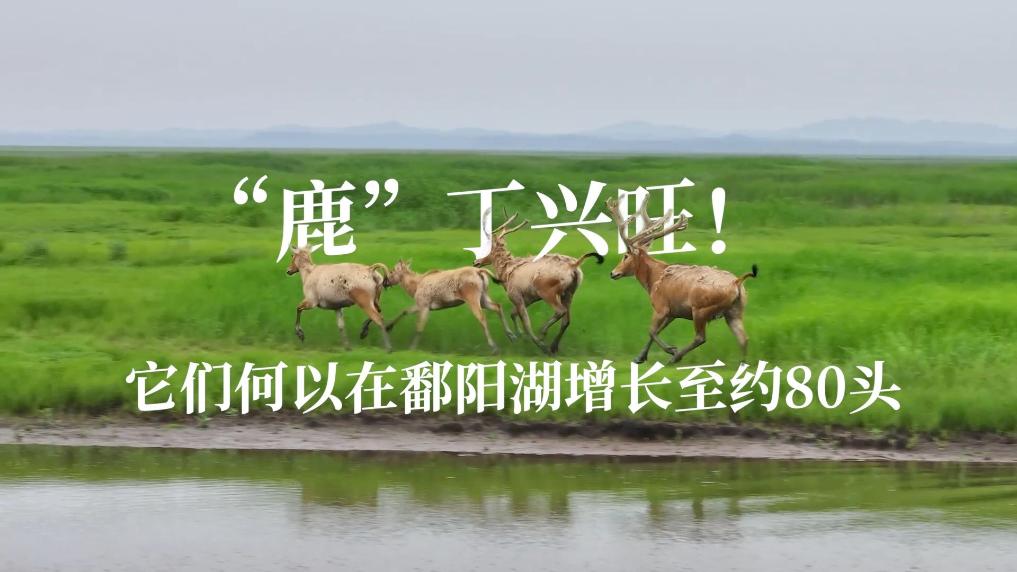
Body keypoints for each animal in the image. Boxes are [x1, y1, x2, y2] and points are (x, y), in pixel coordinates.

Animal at [374, 259, 516, 352]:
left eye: (392, 271)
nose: (385, 282)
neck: (414, 287)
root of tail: (480, 271)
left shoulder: (424, 306)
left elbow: (419, 327)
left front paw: (412, 347)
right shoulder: (421, 305)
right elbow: (404, 311)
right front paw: (388, 326)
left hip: (473, 298)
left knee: (482, 318)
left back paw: (494, 346)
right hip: (483, 298)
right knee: (498, 306)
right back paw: (511, 335)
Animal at [473, 212, 604, 355]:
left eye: (485, 248)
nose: (475, 262)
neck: (505, 273)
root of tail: (574, 265)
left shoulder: (516, 296)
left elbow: (526, 323)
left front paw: (536, 342)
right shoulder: (528, 298)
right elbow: (513, 314)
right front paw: (520, 336)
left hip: (547, 291)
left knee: (560, 311)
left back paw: (543, 335)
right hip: (569, 292)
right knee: (566, 320)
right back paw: (554, 346)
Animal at [605, 198, 758, 364]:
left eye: (625, 256)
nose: (613, 273)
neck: (652, 281)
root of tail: (737, 282)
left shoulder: (661, 306)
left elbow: (651, 330)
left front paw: (671, 350)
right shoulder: (673, 312)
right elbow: (656, 331)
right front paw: (639, 357)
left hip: (701, 309)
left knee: (700, 337)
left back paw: (676, 357)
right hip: (735, 311)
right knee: (743, 338)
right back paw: (742, 364)